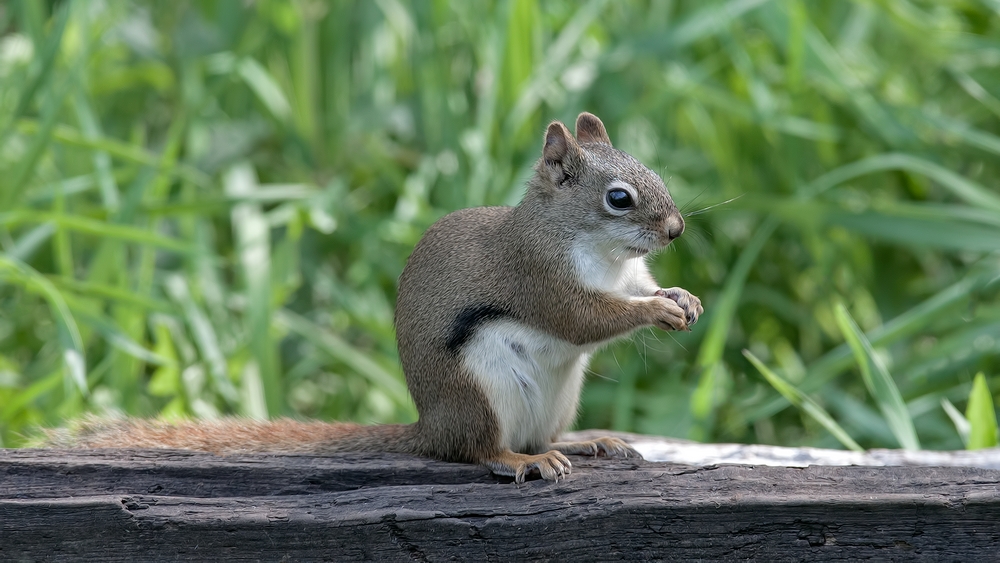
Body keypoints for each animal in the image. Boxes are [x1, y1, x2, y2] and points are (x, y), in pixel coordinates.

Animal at [45, 113, 704, 484]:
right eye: (619, 198)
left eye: (651, 171)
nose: (675, 231)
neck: (605, 255)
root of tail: (428, 427)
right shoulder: (537, 277)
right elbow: (584, 317)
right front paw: (657, 310)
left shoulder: (628, 275)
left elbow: (638, 291)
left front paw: (683, 297)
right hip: (481, 388)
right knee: (479, 450)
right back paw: (521, 462)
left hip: (559, 398)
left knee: (539, 436)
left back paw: (583, 443)